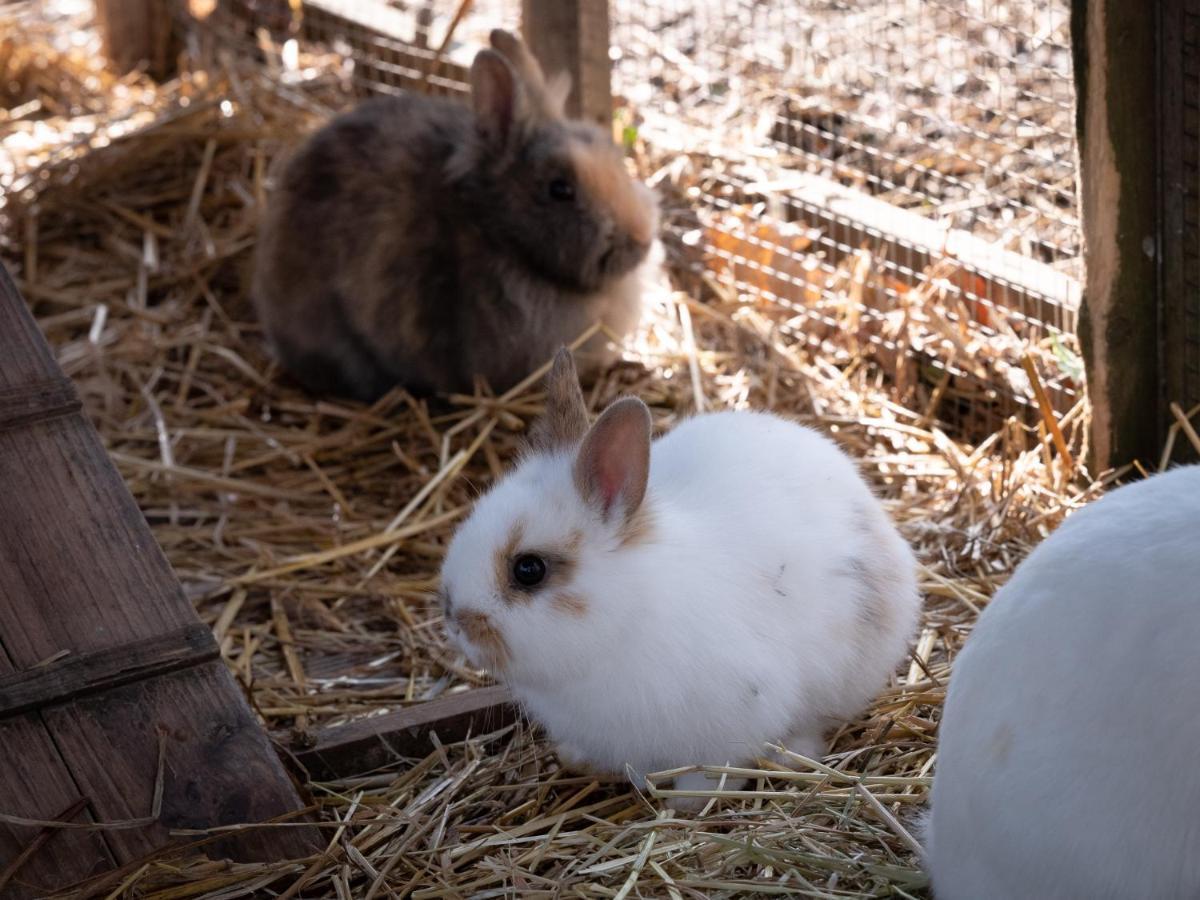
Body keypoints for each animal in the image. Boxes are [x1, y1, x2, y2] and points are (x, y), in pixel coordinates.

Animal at [441, 348, 916, 806]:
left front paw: (684, 803)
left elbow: (711, 773)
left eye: (529, 570)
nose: (455, 620)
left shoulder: (731, 723)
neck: (624, 617)